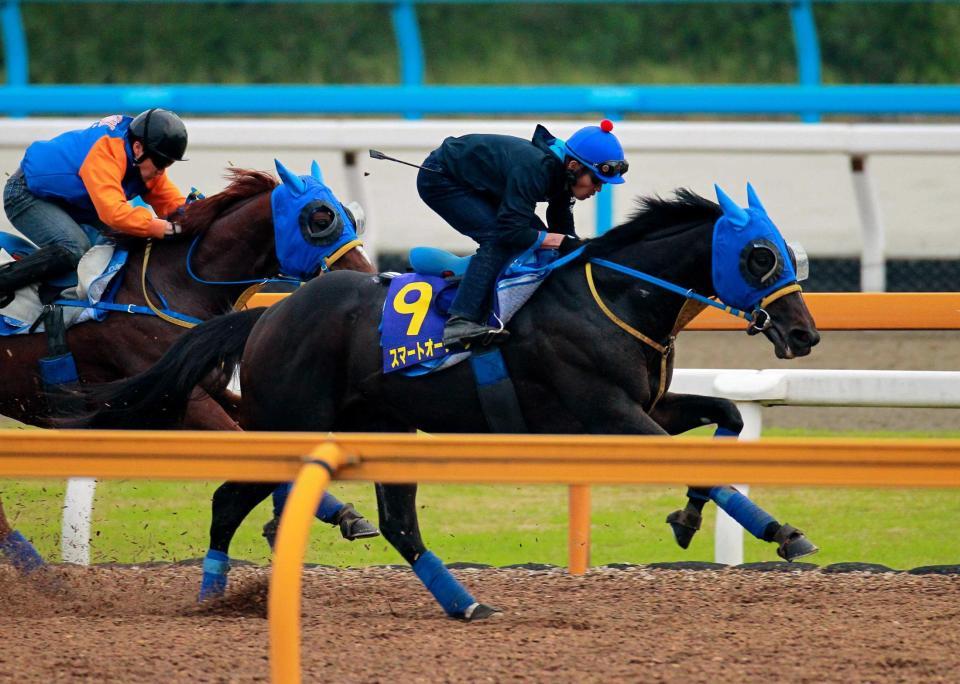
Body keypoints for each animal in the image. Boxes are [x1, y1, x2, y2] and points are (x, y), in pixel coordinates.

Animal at [0, 167, 376, 576]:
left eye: (348, 215)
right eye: (322, 219)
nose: (367, 274)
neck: (172, 285)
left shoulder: (211, 387)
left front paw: (339, 515)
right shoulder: (178, 403)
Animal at [67, 186, 816, 620]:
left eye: (787, 253)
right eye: (759, 257)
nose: (805, 333)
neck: (614, 297)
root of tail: (268, 314)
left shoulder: (642, 408)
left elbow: (727, 418)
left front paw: (691, 518)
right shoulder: (607, 415)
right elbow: (702, 463)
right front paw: (780, 531)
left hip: (383, 430)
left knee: (397, 525)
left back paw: (465, 604)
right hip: (292, 422)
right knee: (230, 500)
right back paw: (213, 597)